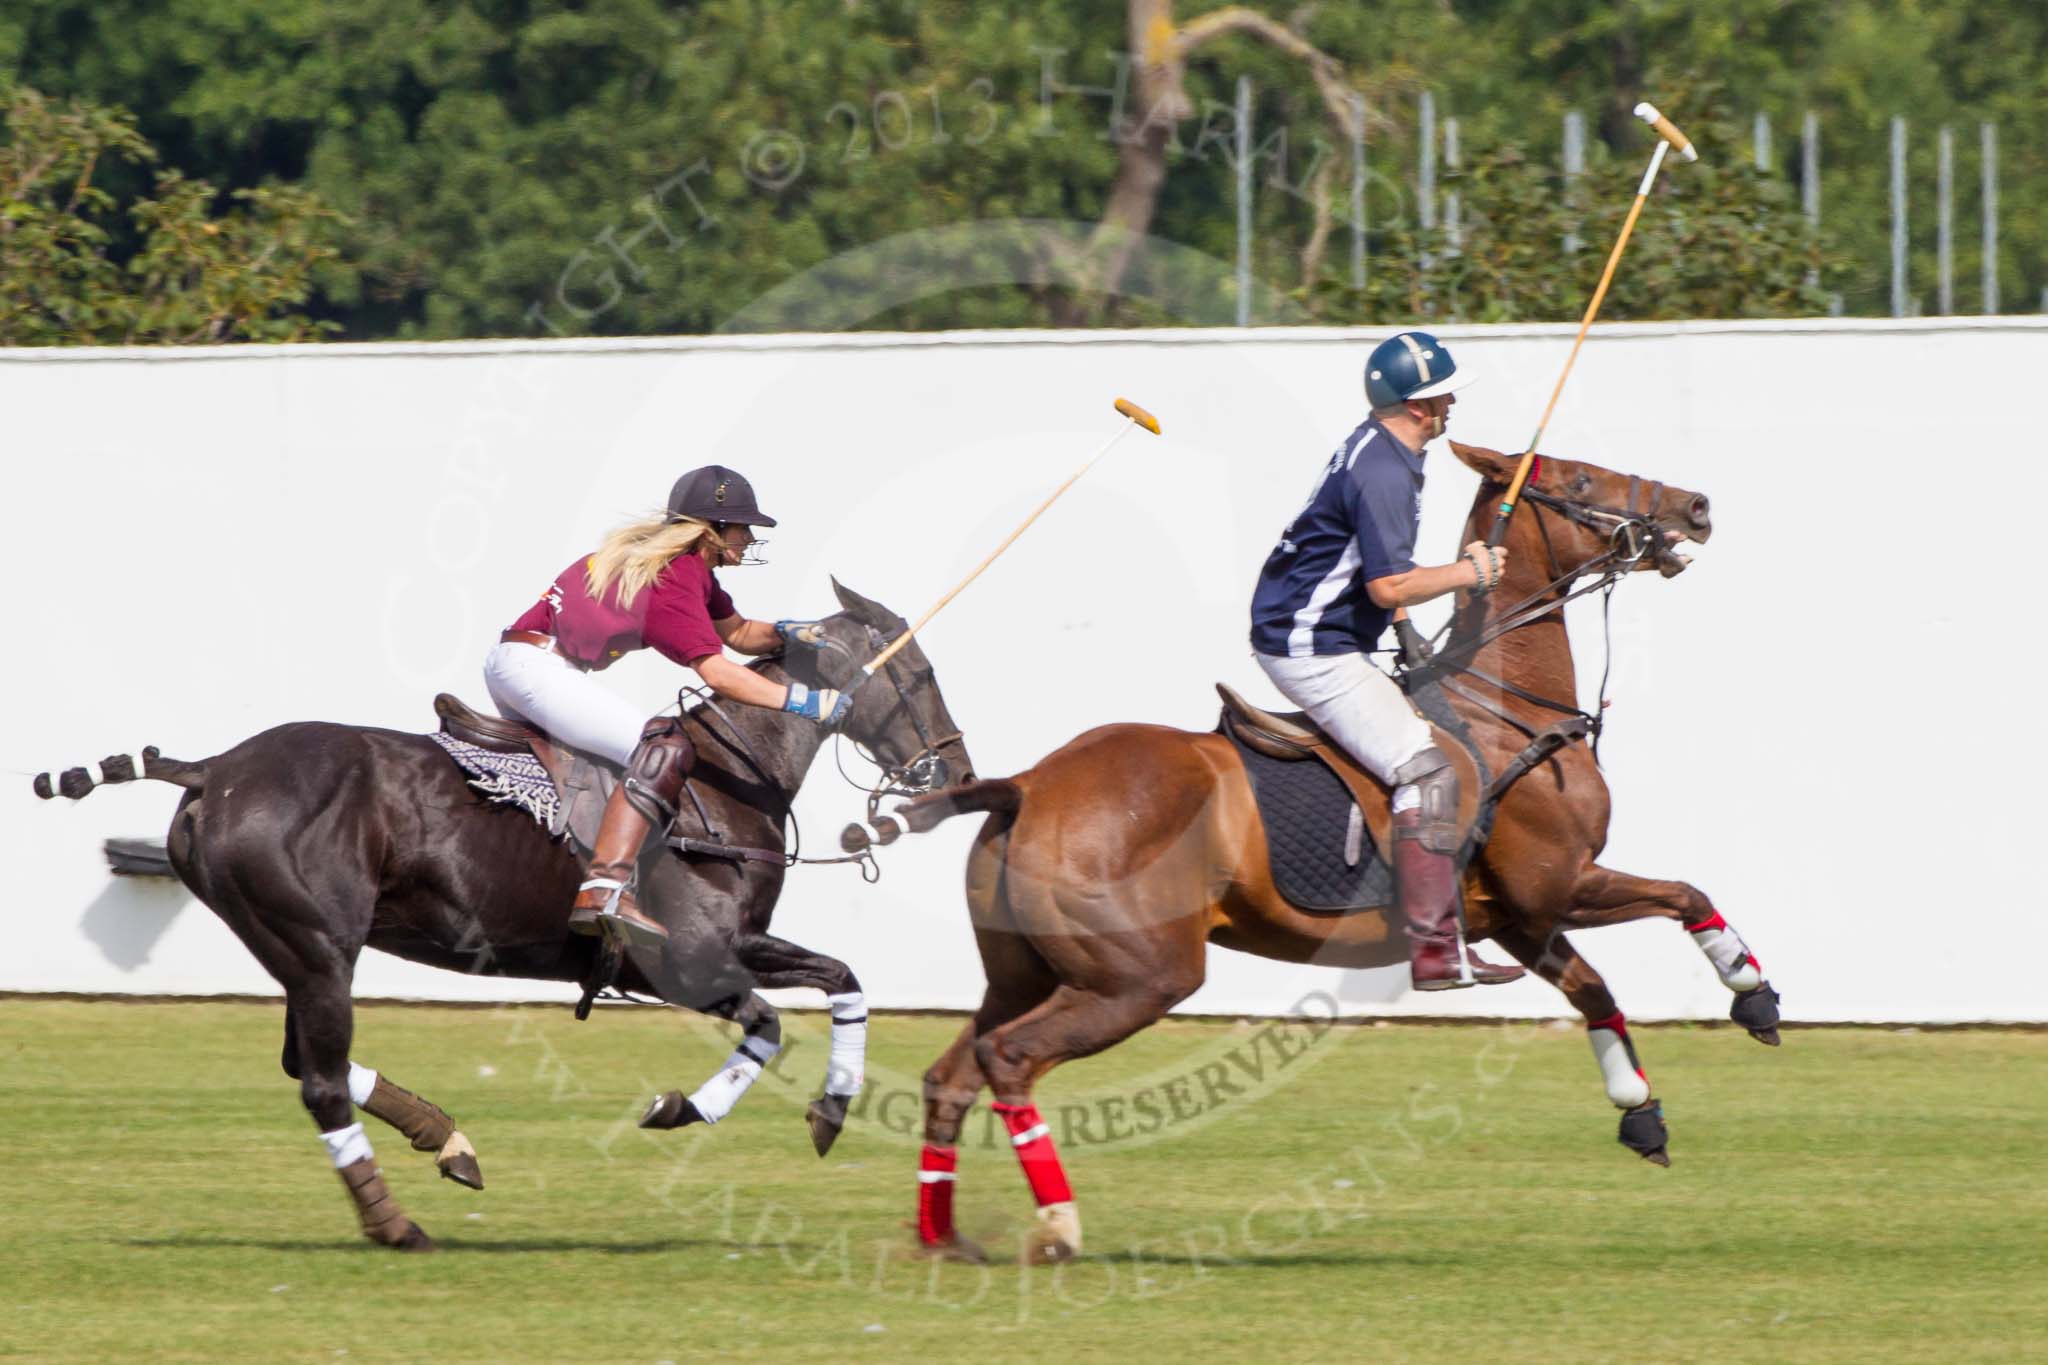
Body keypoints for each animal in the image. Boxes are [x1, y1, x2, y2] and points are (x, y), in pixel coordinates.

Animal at [36, 581, 970, 1252]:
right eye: (919, 674)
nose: (954, 772)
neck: (726, 776)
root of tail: (214, 769)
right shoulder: (696, 959)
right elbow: (780, 1017)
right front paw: (687, 1108)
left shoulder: (723, 955)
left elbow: (843, 980)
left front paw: (826, 1112)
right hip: (318, 944)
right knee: (320, 1079)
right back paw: (396, 1224)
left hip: (293, 944)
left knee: (305, 1059)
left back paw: (446, 1138)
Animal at [880, 446, 1777, 1260]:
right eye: (1580, 476)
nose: (1696, 506)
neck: (1506, 707)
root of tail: (1026, 786)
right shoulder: (1557, 884)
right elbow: (1686, 892)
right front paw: (1753, 994)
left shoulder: (1516, 920)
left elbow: (1596, 989)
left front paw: (1642, 1113)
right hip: (1140, 974)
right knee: (1010, 1056)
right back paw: (1058, 1224)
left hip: (1026, 971)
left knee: (952, 1073)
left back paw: (943, 1237)